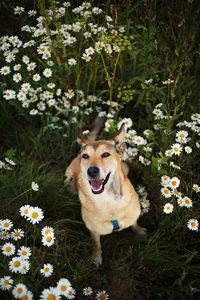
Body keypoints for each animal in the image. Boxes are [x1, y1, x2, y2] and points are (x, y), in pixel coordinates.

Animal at [65, 119, 146, 264]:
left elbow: (135, 223)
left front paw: (140, 231)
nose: (92, 171)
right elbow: (96, 244)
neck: (108, 200)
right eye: (86, 156)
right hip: (69, 180)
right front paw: (96, 257)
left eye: (106, 154)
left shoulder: (133, 215)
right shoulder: (93, 230)